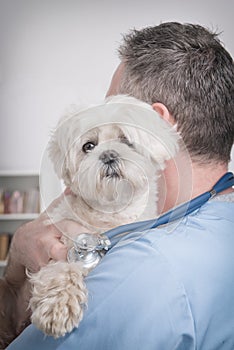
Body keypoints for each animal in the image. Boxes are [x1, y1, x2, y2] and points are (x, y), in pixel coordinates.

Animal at [28, 94, 179, 338]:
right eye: (88, 146)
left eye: (126, 140)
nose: (108, 155)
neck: (111, 213)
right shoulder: (60, 245)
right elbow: (61, 269)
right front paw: (58, 306)